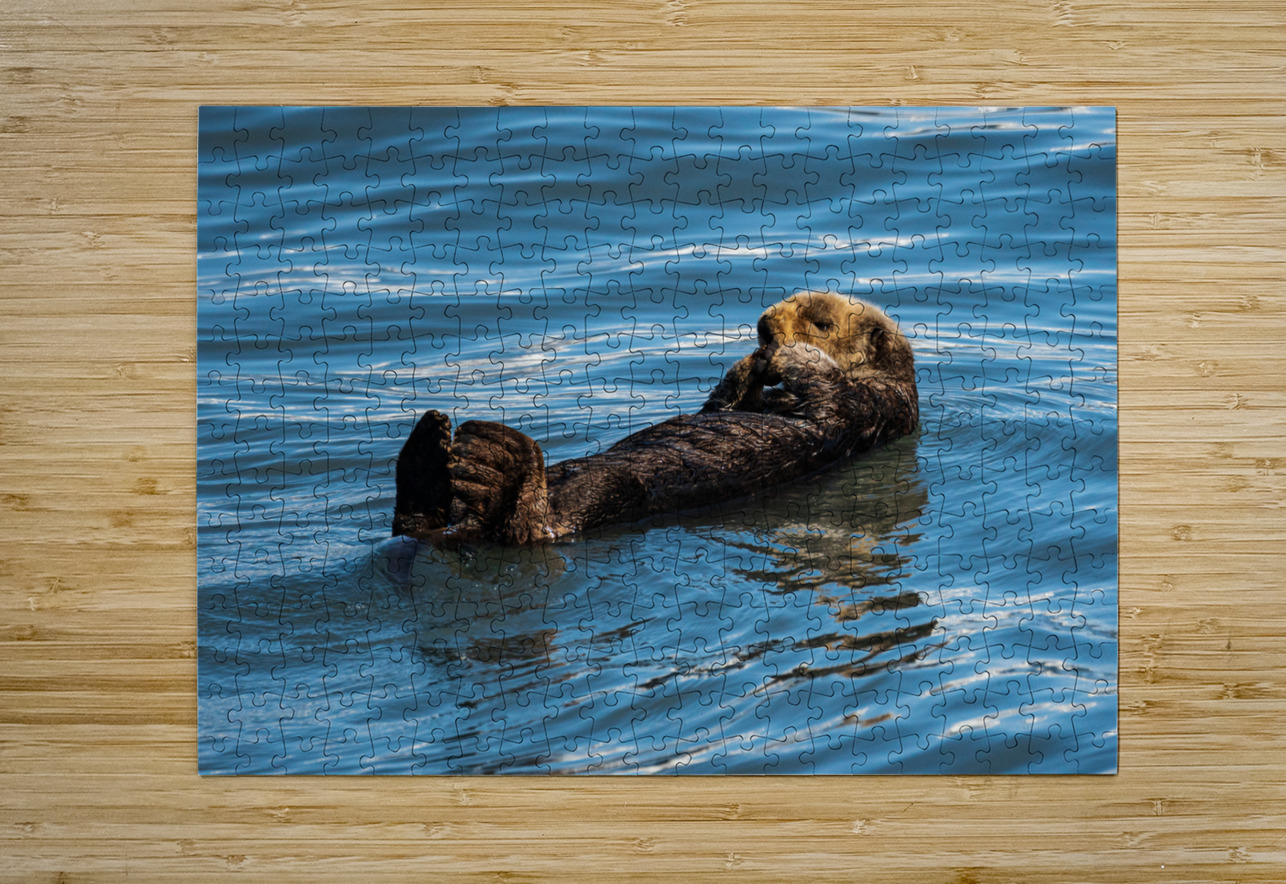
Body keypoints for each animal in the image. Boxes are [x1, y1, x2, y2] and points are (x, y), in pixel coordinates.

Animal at [392, 291, 918, 545]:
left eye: (823, 323)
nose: (764, 326)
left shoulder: (874, 403)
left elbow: (829, 391)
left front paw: (789, 355)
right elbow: (721, 405)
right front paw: (748, 364)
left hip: (610, 492)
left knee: (531, 528)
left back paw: (496, 465)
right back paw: (431, 453)